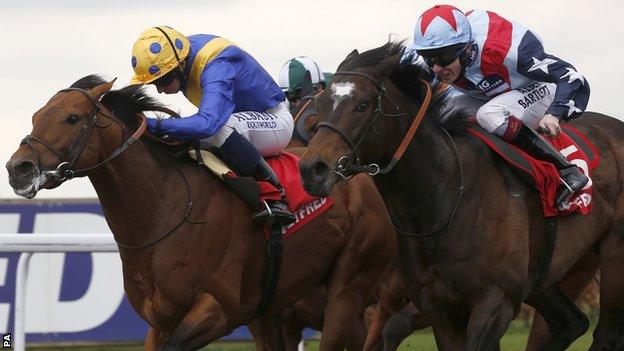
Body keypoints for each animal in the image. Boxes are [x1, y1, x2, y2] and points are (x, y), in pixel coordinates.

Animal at [4, 75, 394, 350]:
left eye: (72, 118)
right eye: (37, 116)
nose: (18, 168)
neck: (162, 213)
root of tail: (355, 172)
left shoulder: (218, 310)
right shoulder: (160, 321)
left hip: (348, 285)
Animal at [298, 42, 624, 350]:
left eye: (363, 105)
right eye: (321, 105)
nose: (312, 169)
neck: (447, 195)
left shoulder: (496, 302)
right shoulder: (442, 309)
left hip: (611, 260)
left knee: (606, 335)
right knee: (572, 323)